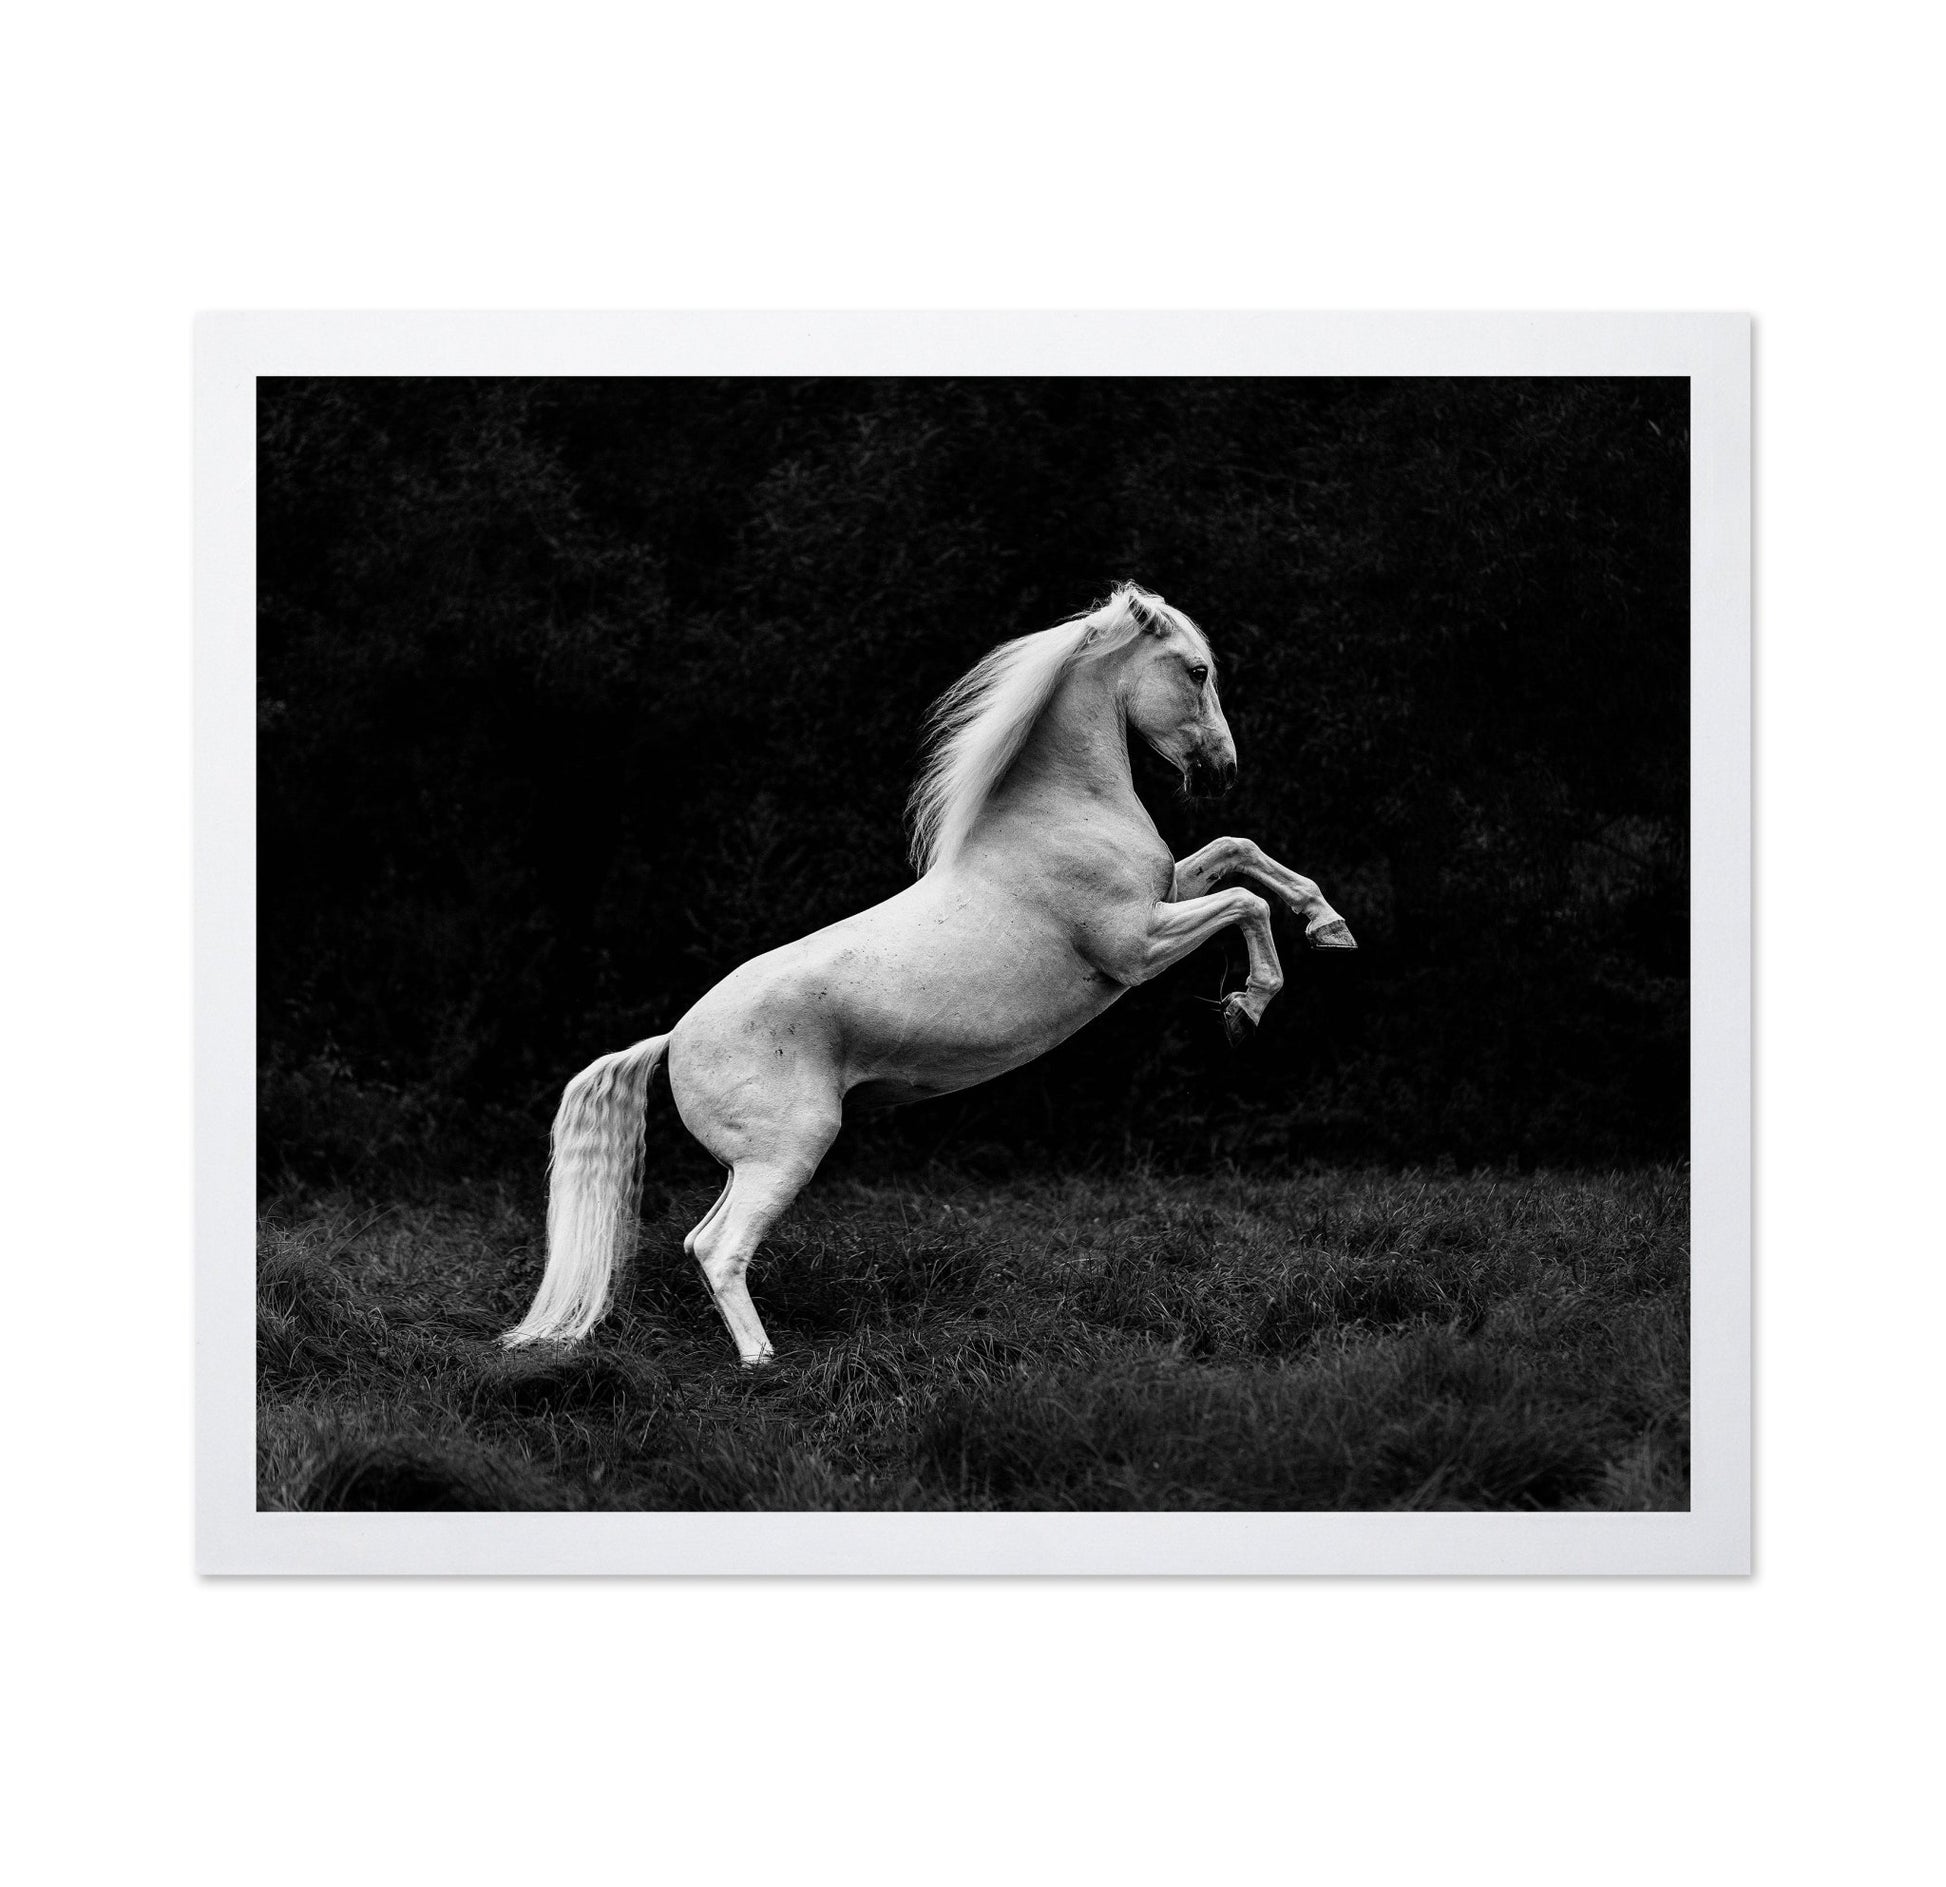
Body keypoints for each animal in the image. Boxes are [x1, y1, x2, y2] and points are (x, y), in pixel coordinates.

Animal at [502, 582, 1356, 1366]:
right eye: (1197, 669)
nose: (1223, 769)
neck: (1062, 814)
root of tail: (672, 1038)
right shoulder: (1137, 945)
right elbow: (1245, 900)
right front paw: (1249, 1005)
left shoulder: (1167, 893)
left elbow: (1239, 852)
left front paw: (1329, 926)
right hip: (788, 1150)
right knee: (719, 1248)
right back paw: (764, 1363)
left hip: (749, 1163)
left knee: (701, 1240)